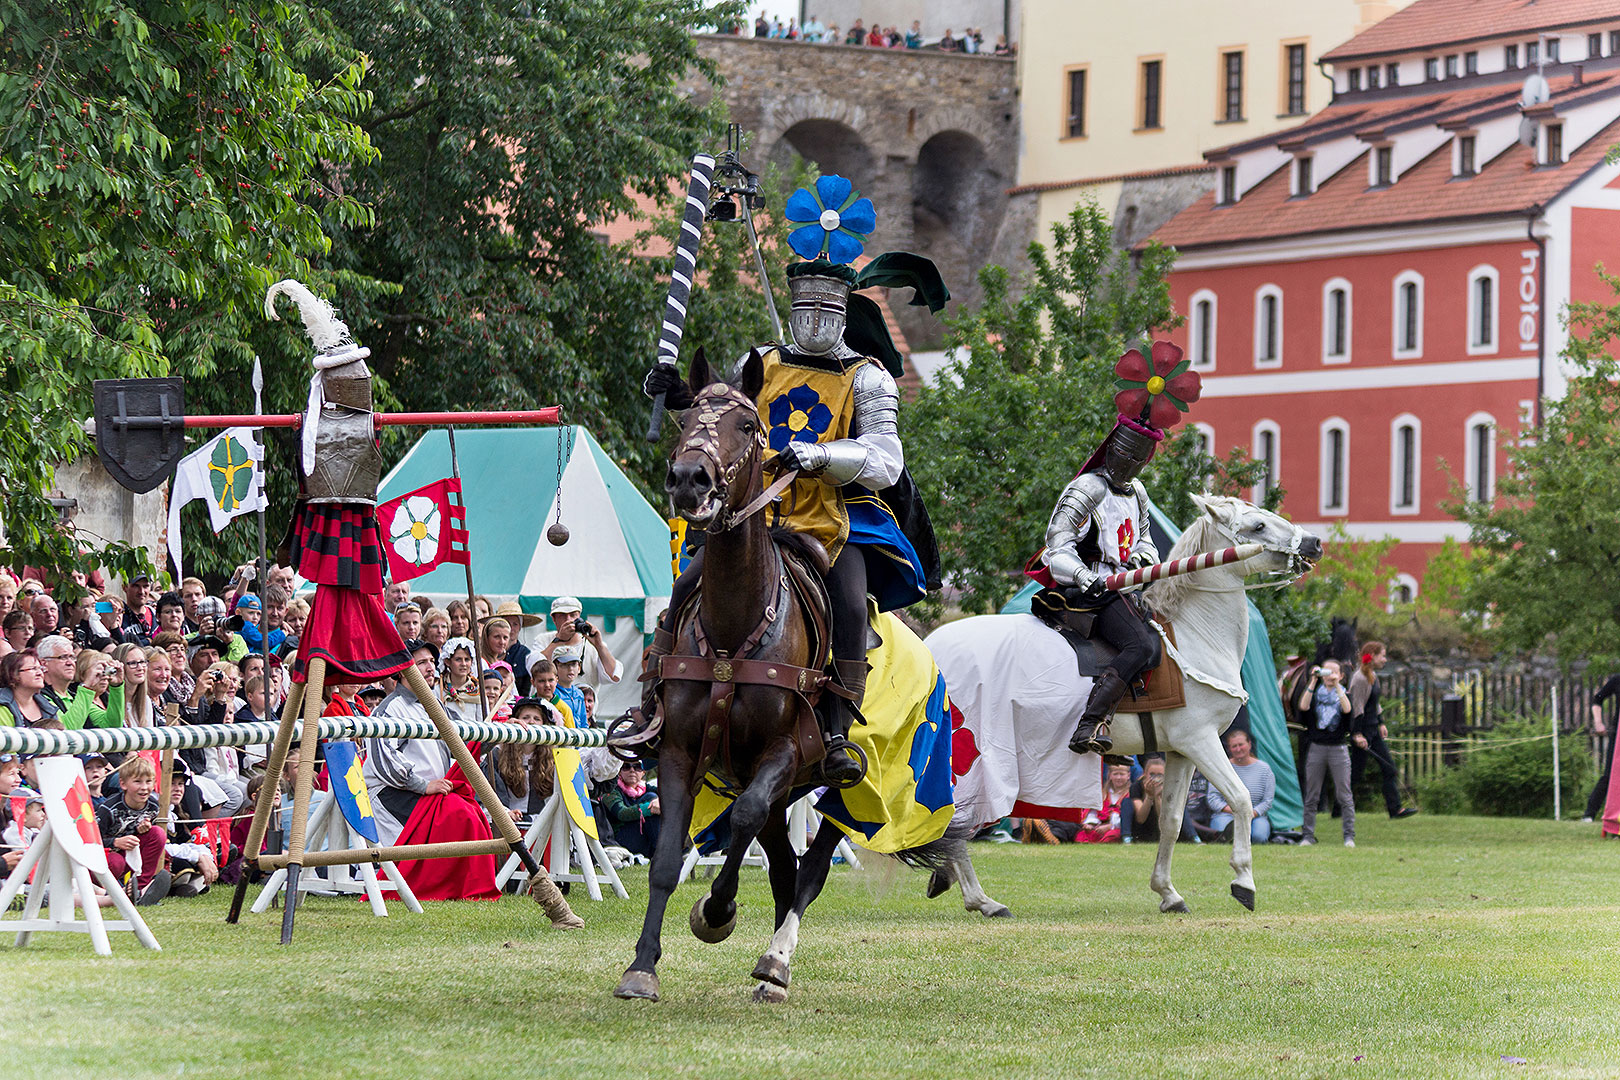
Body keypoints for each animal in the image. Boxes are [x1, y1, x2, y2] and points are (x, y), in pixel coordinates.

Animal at [612, 352, 881, 1003]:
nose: (689, 479)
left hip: (838, 788)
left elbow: (742, 818)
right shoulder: (679, 751)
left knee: (808, 870)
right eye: (687, 418)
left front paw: (716, 911)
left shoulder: (784, 752)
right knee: (785, 868)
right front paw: (642, 966)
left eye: (747, 426)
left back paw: (776, 963)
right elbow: (666, 857)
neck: (736, 630)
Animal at [933, 495, 1321, 913]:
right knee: (957, 819)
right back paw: (981, 899)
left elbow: (1171, 819)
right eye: (1257, 526)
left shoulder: (1181, 751)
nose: (1314, 543)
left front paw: (1168, 892)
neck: (1196, 635)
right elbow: (1241, 799)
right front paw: (1243, 881)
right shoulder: (1201, 741)